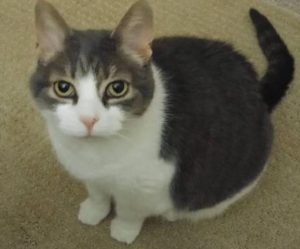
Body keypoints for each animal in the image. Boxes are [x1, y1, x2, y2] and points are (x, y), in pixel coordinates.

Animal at [29, 0, 292, 244]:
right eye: (63, 87)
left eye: (118, 88)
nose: (88, 119)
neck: (96, 156)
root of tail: (257, 88)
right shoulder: (88, 174)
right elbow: (97, 193)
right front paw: (94, 211)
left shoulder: (148, 185)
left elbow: (130, 211)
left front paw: (123, 230)